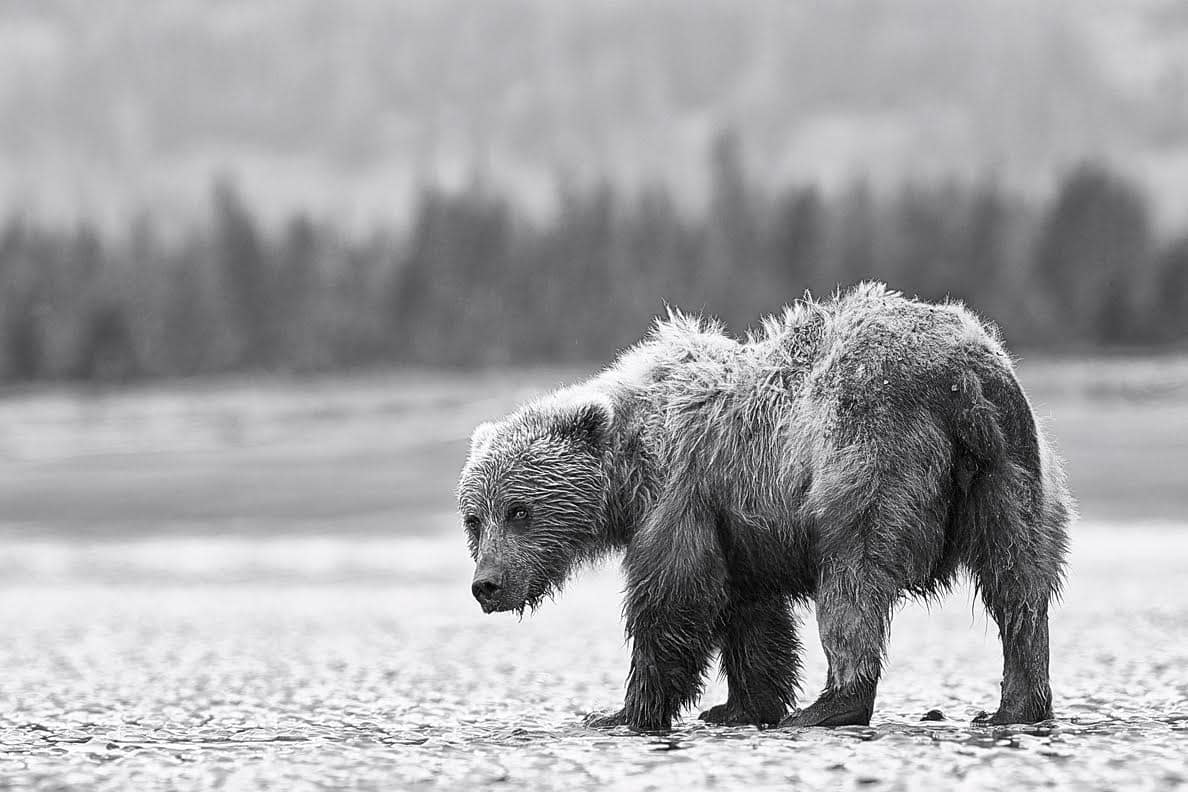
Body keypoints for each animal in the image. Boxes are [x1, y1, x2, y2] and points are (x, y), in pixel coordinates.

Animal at [456, 282, 1073, 732]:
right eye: (474, 518)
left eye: (518, 510)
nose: (486, 584)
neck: (630, 463)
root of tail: (961, 375)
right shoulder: (736, 524)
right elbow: (751, 616)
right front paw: (738, 705)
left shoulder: (680, 494)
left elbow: (673, 599)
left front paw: (619, 712)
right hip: (1009, 463)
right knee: (1018, 579)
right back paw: (1013, 705)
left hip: (869, 451)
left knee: (854, 578)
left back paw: (830, 705)